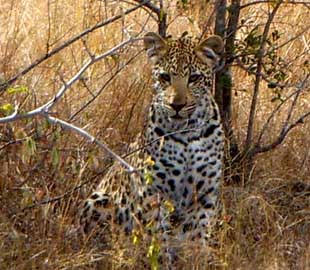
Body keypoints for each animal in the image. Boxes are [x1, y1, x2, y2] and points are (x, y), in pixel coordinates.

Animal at [79, 31, 225, 266]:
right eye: (165, 77)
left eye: (193, 78)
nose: (177, 105)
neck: (187, 134)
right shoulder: (152, 194)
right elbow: (158, 241)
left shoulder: (203, 196)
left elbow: (195, 240)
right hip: (98, 201)